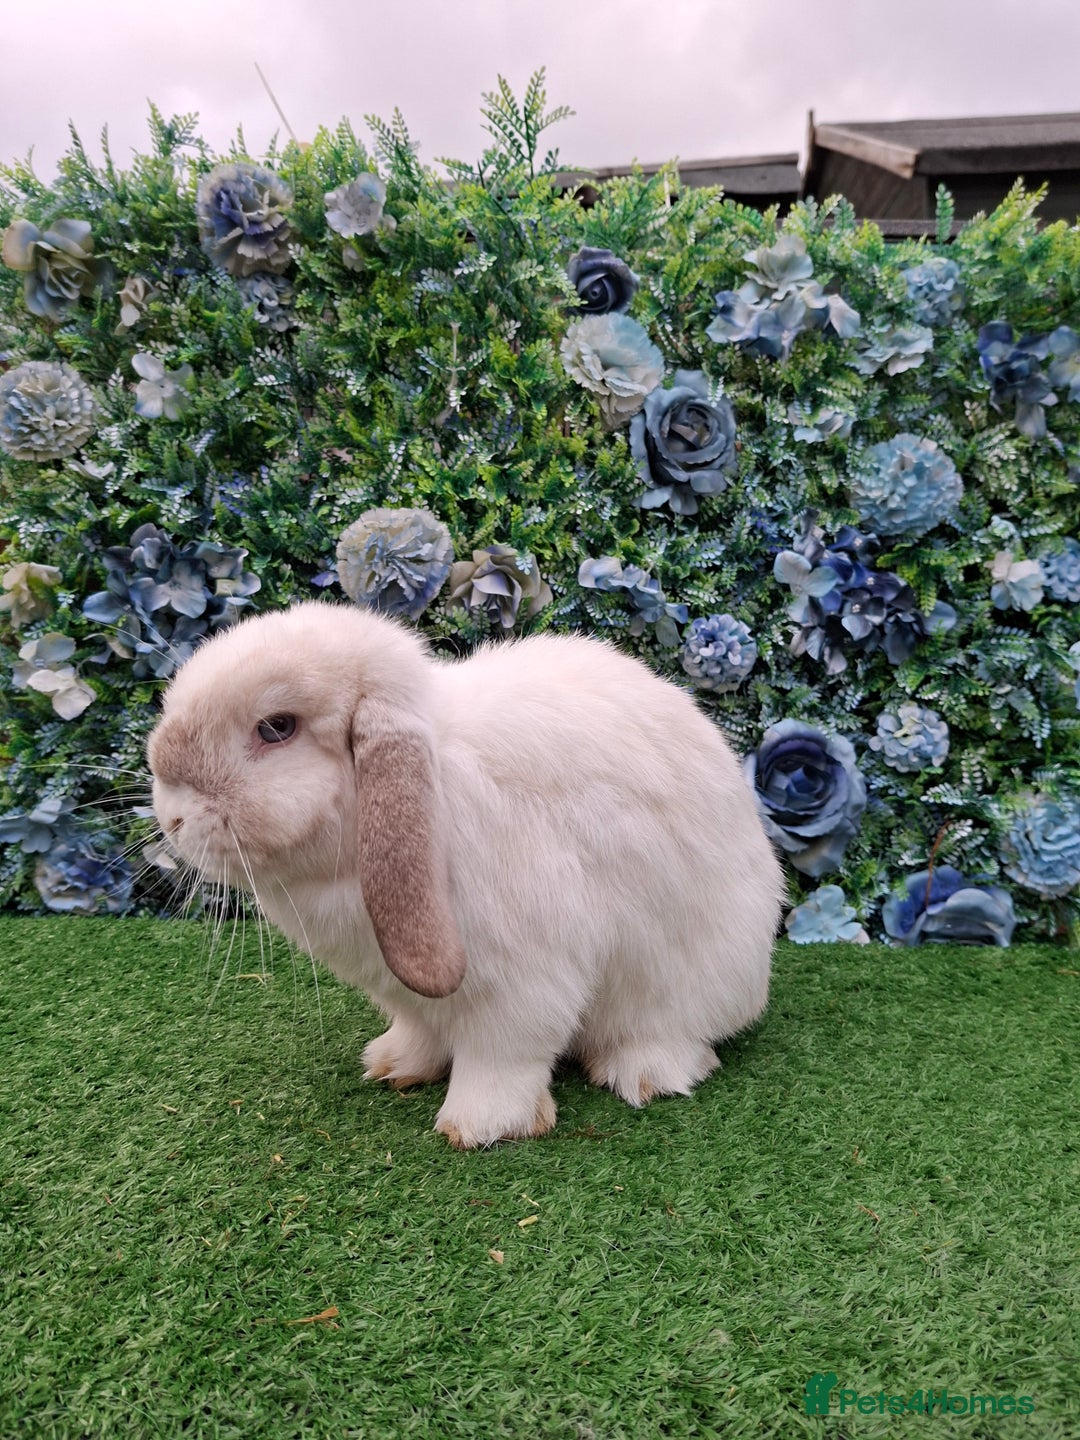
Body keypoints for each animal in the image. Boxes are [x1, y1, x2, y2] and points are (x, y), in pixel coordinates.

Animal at [147, 600, 783, 1148]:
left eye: (277, 727)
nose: (171, 818)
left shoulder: (525, 984)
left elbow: (502, 1057)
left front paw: (481, 1127)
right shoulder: (408, 994)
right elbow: (420, 1031)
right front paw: (392, 1067)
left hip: (685, 982)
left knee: (678, 1034)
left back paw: (644, 1074)